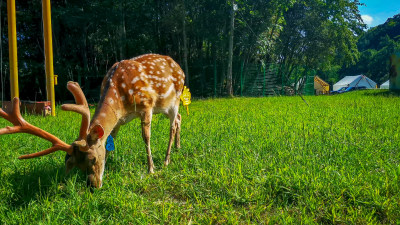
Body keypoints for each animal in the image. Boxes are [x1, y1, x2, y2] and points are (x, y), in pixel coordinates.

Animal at [0, 54, 184, 188]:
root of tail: (179, 66)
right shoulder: (119, 120)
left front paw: (151, 169)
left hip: (175, 99)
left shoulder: (146, 106)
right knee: (179, 119)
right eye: (78, 166)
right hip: (166, 107)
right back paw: (177, 147)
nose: (93, 186)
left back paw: (166, 160)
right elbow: (110, 142)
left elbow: (146, 137)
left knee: (173, 124)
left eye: (93, 159)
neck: (120, 98)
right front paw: (107, 168)